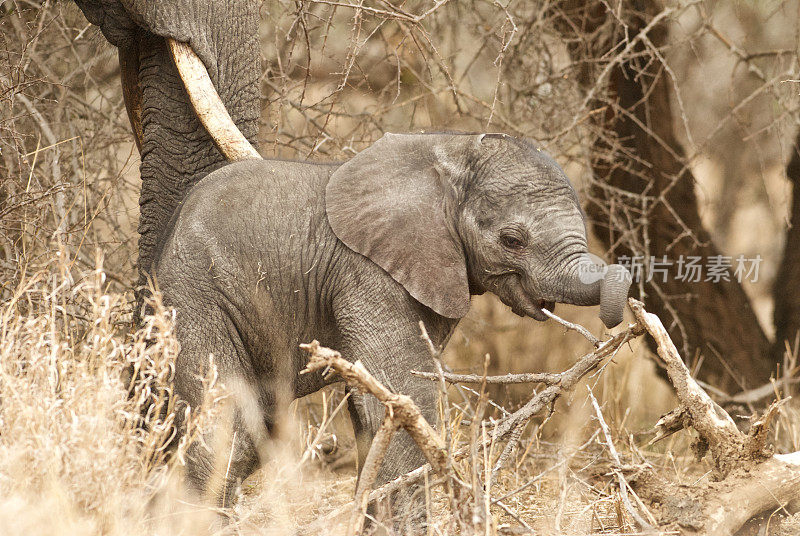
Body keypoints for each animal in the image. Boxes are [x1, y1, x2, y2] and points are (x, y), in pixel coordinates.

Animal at [153, 133, 632, 506]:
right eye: (512, 240)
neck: (452, 151)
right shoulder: (370, 274)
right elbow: (403, 399)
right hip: (198, 293)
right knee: (226, 430)